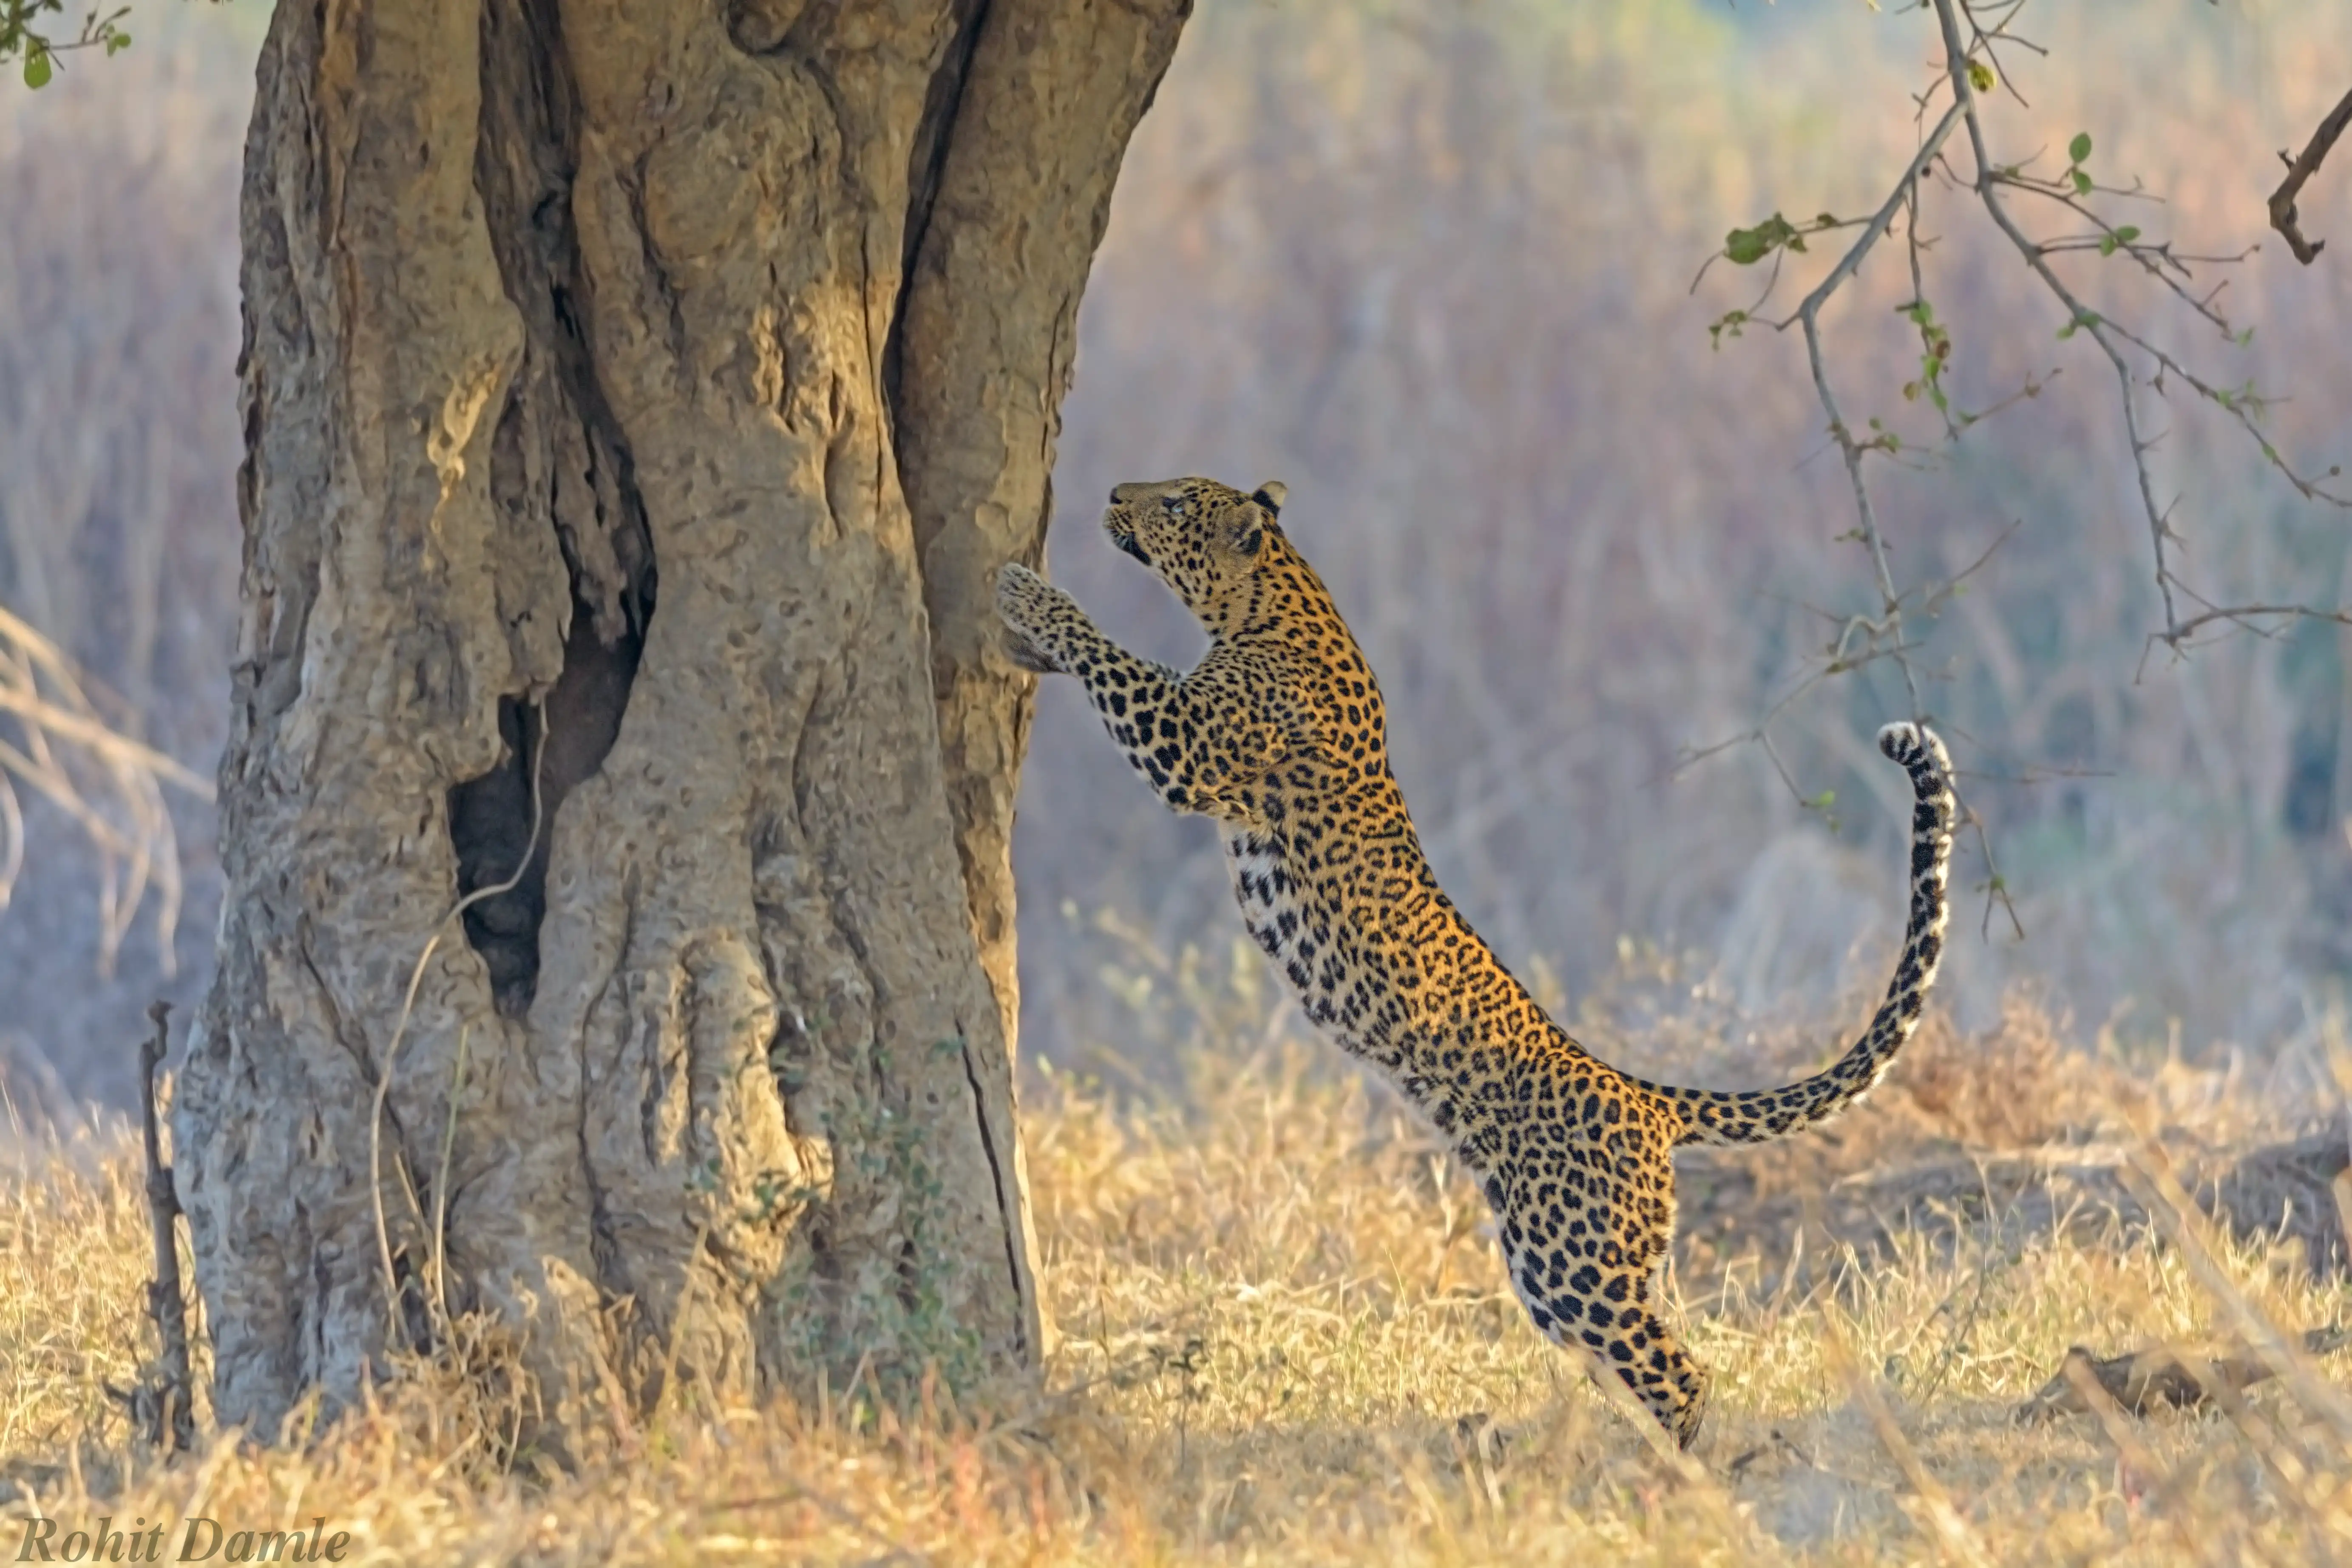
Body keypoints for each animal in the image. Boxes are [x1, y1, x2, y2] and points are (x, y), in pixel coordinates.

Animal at [996, 476, 1955, 1450]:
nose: (1114, 491)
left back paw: (1671, 1475)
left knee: (1680, 1370)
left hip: (1573, 1257)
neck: (1275, 600)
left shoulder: (1185, 744)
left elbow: (1110, 655)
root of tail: (1644, 1096)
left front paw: (1024, 590)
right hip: (1558, 1272)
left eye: (1176, 503)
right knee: (1642, 1360)